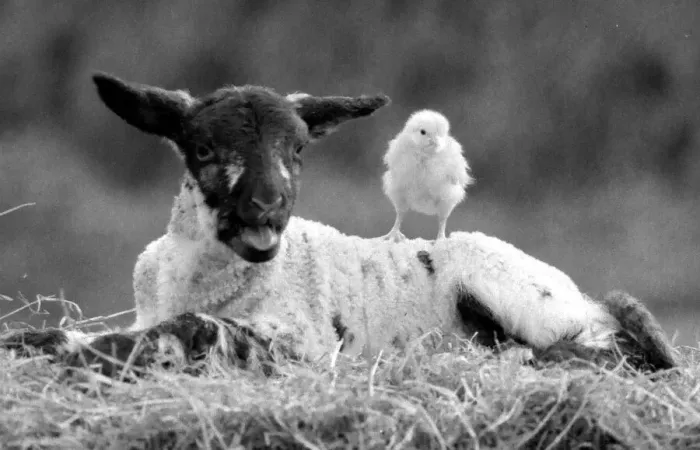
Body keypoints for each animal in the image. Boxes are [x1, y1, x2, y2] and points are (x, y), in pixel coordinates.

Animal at [1, 72, 677, 377]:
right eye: (202, 147)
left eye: (299, 148)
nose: (269, 207)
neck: (201, 278)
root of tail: (582, 293)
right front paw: (40, 343)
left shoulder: (298, 341)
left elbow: (197, 330)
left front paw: (85, 352)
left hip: (517, 290)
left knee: (605, 346)